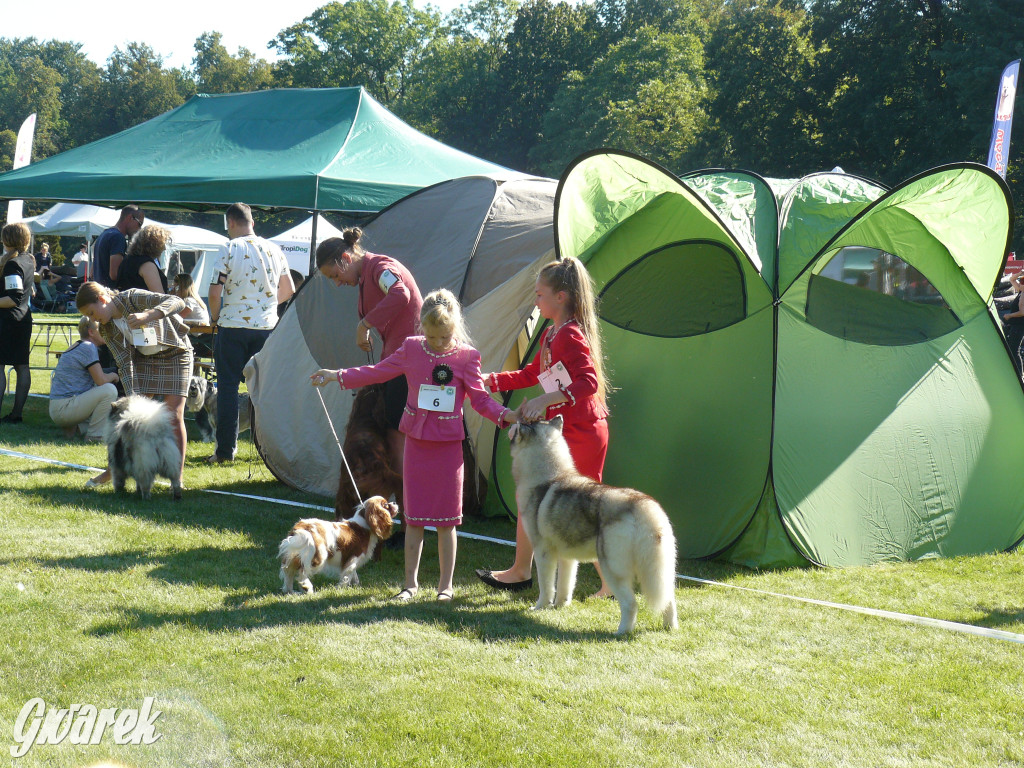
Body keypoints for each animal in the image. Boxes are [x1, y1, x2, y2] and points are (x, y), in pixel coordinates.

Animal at [507, 417, 675, 634]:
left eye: (530, 421)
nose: (516, 419)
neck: (549, 475)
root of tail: (643, 505)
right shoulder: (567, 557)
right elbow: (565, 584)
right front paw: (560, 606)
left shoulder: (543, 551)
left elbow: (546, 586)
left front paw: (540, 607)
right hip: (659, 570)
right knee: (668, 600)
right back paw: (670, 628)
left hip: (612, 567)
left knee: (631, 603)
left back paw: (621, 632)